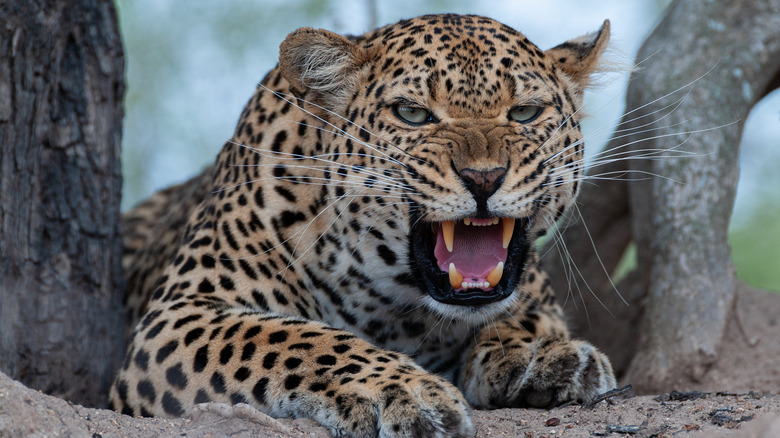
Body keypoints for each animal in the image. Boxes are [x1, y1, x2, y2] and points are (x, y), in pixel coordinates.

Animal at [112, 13, 620, 438]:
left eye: (525, 113)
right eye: (412, 113)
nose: (484, 177)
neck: (396, 311)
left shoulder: (535, 297)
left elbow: (524, 319)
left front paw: (542, 355)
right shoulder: (179, 314)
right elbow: (295, 338)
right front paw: (403, 391)